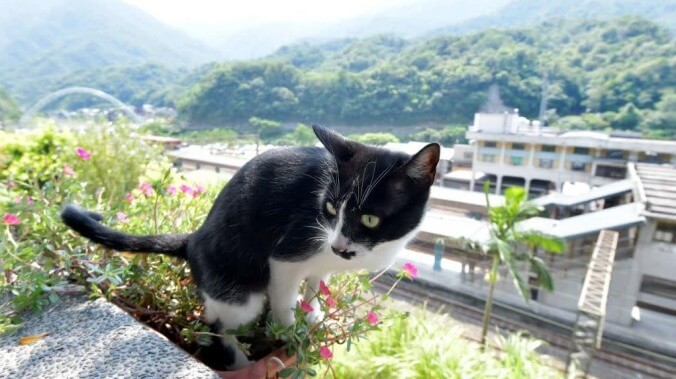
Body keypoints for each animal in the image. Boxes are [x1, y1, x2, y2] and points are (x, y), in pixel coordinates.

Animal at [60, 126, 440, 370]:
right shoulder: (290, 252)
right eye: (331, 208)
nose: (338, 244)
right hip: (239, 291)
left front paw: (313, 314)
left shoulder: (323, 262)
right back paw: (241, 360)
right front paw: (290, 331)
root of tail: (193, 239)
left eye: (370, 219)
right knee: (219, 324)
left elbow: (316, 284)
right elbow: (285, 299)